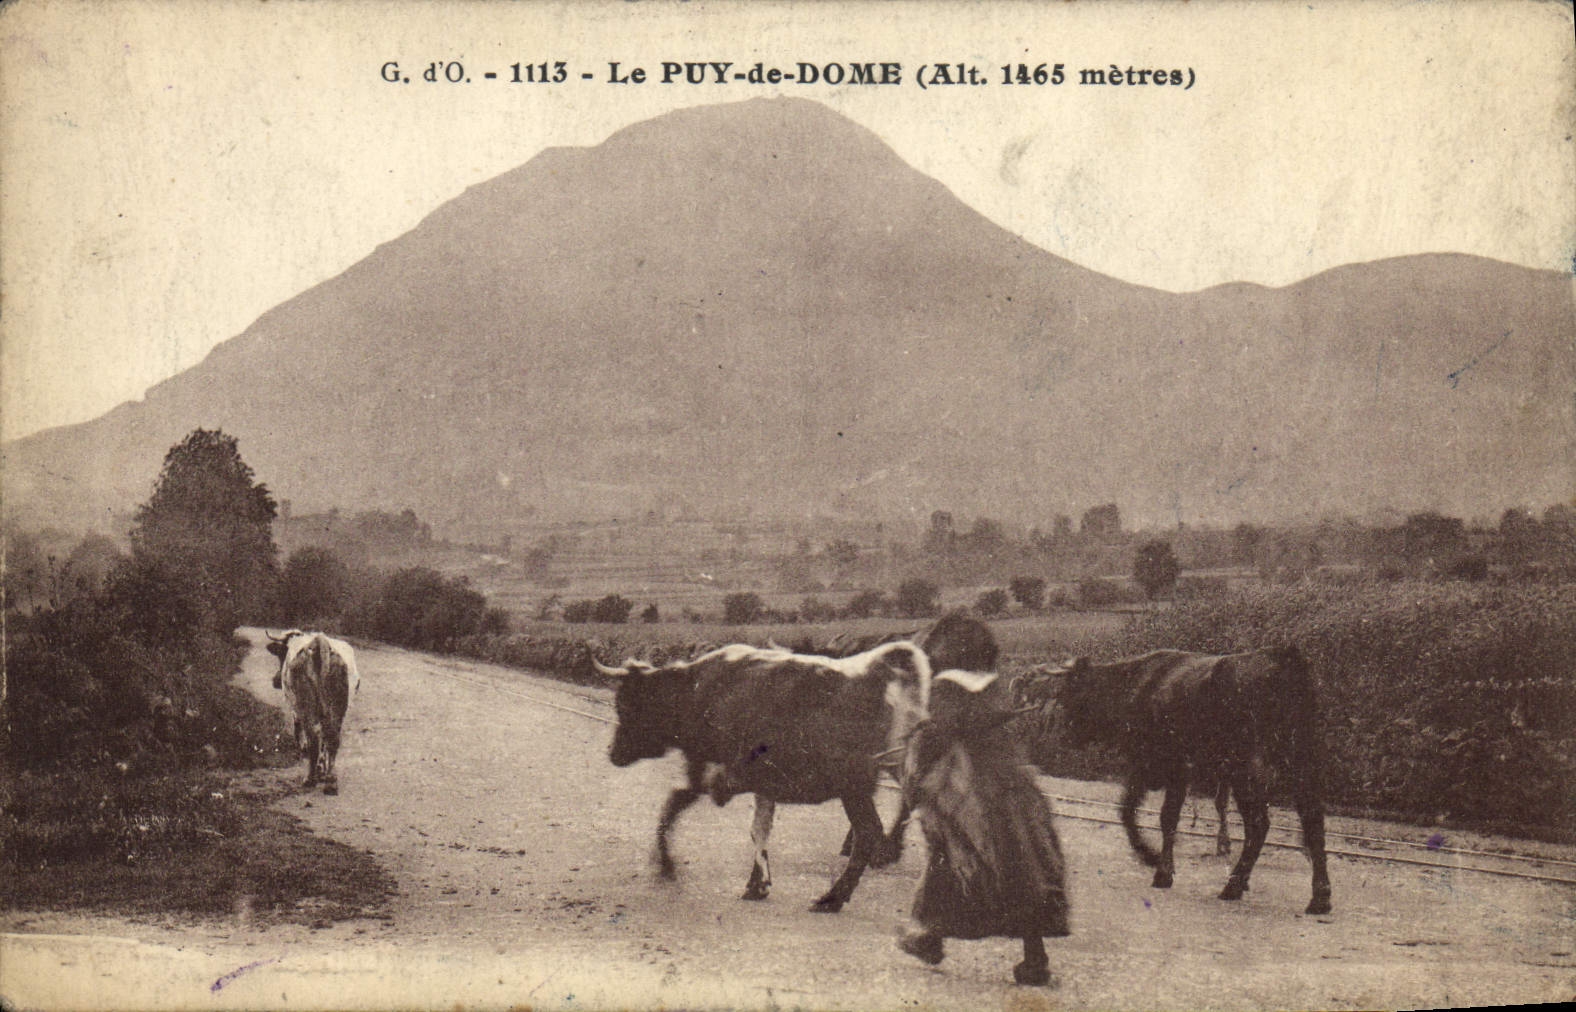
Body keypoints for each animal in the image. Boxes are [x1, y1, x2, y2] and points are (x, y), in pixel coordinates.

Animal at [265, 629, 360, 795]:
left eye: (281, 654)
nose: (276, 681)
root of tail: (319, 641)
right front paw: (322, 770)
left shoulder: (295, 709)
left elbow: (299, 731)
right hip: (338, 708)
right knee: (332, 738)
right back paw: (330, 781)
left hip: (306, 705)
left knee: (314, 737)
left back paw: (310, 778)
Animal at [595, 640, 933, 912]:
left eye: (625, 705)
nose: (612, 753)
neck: (698, 690)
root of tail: (875, 671)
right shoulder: (756, 781)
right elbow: (759, 828)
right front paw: (758, 884)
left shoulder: (703, 767)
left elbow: (673, 805)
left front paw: (665, 865)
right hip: (894, 767)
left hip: (854, 785)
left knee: (867, 832)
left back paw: (833, 897)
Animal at [1052, 646, 1332, 915]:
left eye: (1072, 692)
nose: (1065, 734)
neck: (1139, 683)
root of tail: (1282, 657)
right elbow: (1143, 812)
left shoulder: (1159, 767)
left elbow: (1149, 814)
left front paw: (1156, 864)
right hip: (1303, 767)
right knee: (1313, 821)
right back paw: (1319, 898)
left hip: (1247, 774)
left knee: (1259, 824)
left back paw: (1233, 885)